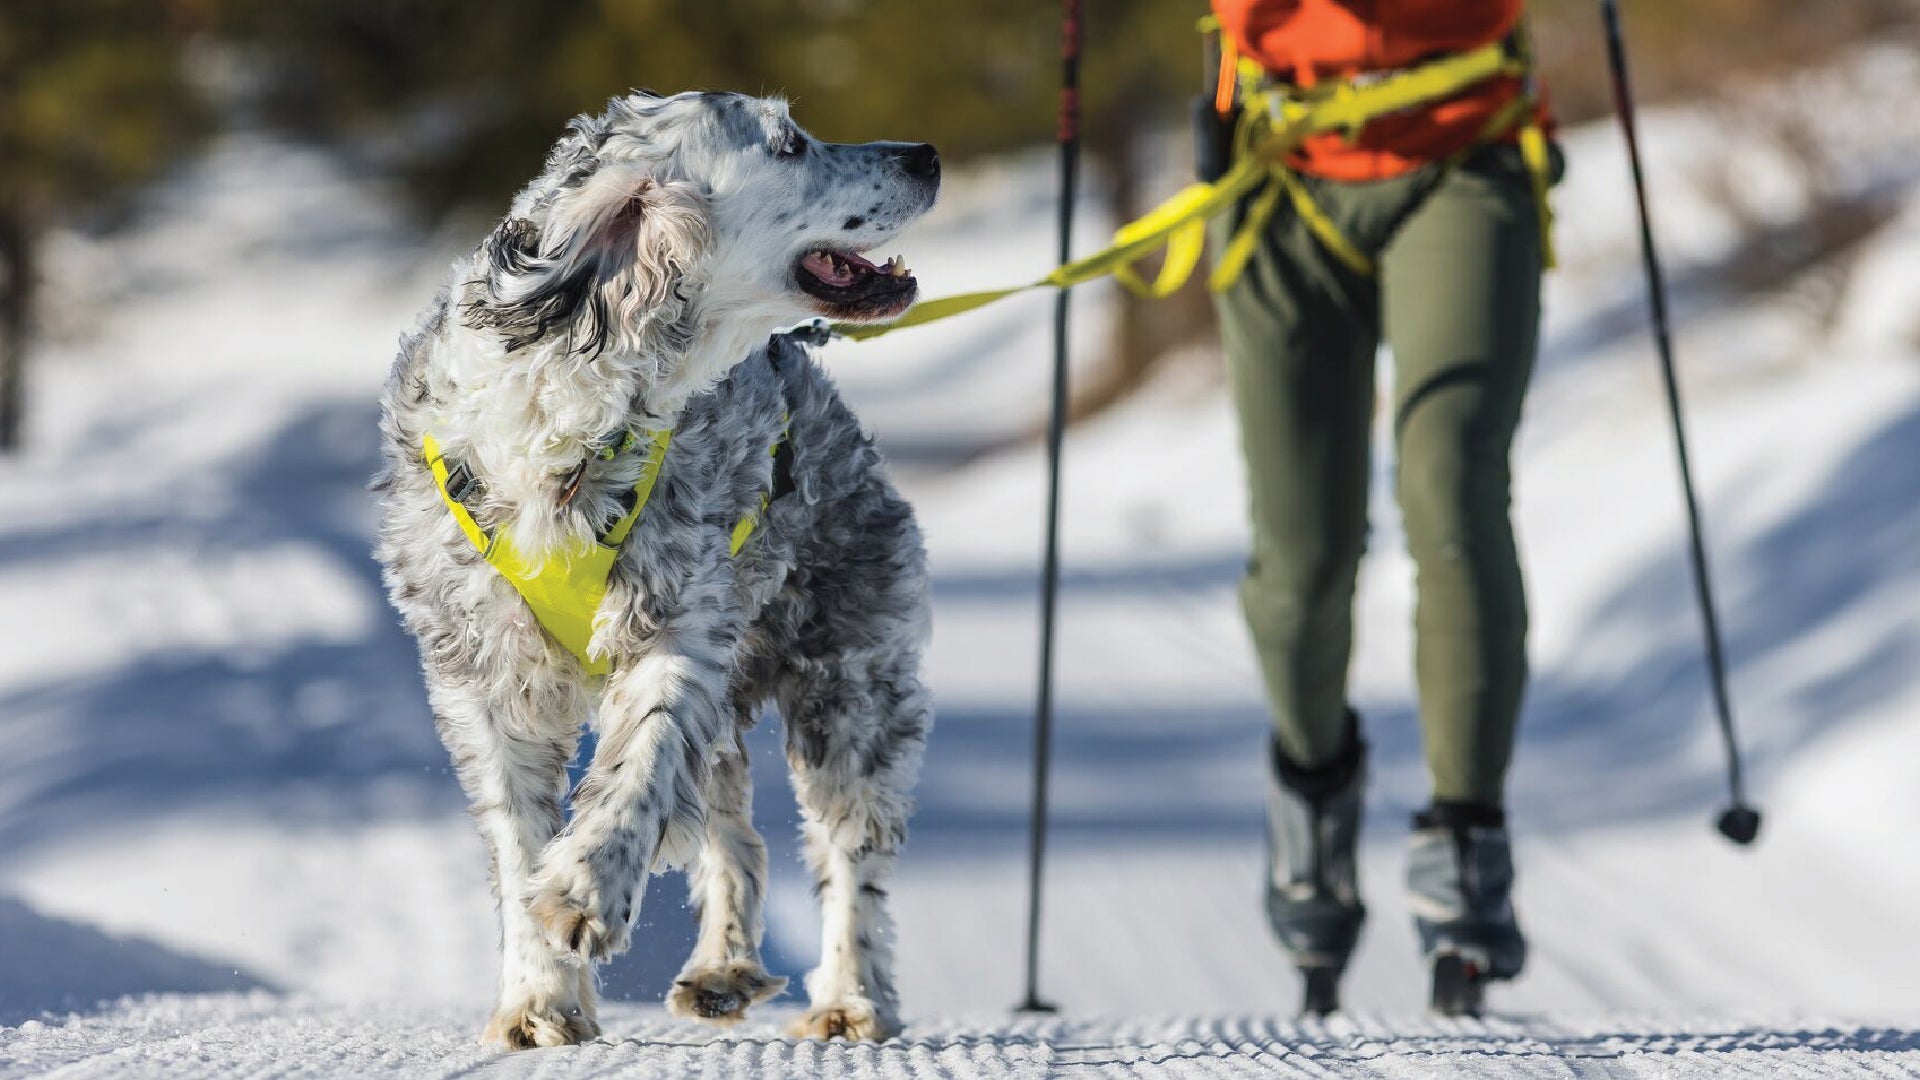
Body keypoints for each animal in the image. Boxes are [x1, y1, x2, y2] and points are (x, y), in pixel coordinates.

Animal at [372, 90, 936, 1045]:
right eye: (790, 144)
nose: (926, 155)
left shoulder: (679, 629)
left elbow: (638, 765)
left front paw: (585, 889)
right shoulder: (482, 677)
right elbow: (517, 840)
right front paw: (539, 1000)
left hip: (851, 684)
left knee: (846, 856)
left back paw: (851, 998)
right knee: (737, 839)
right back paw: (722, 969)